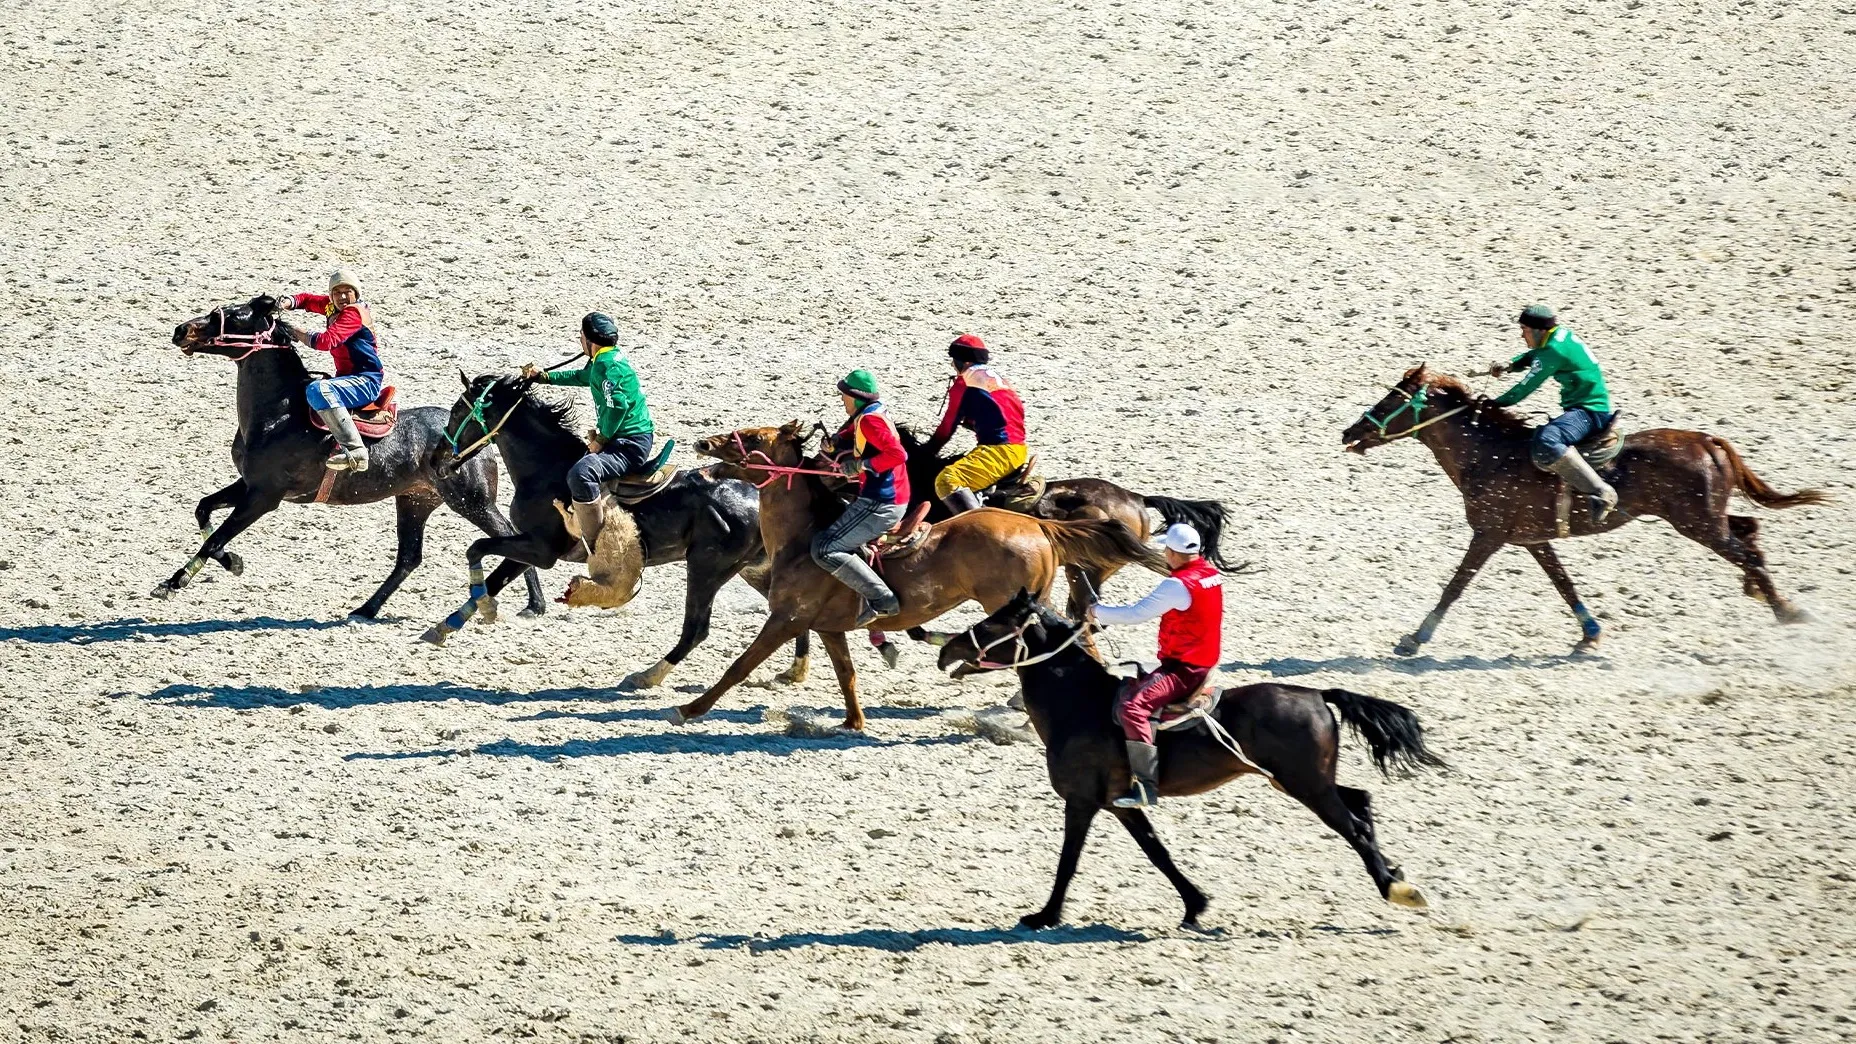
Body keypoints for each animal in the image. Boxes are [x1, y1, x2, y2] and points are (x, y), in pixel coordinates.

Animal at [160, 295, 541, 616]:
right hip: (416, 501)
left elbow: (217, 536)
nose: (181, 330)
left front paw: (174, 582)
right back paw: (366, 609)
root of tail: (480, 438)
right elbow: (204, 510)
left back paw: (535, 605)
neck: (279, 413)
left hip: (472, 502)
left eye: (230, 315)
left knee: (508, 534)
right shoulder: (248, 485)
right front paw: (231, 562)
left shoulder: (265, 496)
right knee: (409, 557)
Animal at [434, 369, 812, 687]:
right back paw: (794, 671)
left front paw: (483, 609)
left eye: (457, 412)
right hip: (755, 569)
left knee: (697, 630)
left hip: (706, 568)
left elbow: (477, 549)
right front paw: (445, 626)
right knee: (792, 611)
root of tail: (756, 496)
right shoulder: (529, 547)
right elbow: (495, 576)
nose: (438, 460)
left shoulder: (540, 550)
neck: (546, 470)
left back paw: (647, 676)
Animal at [690, 417, 1165, 728]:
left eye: (753, 437)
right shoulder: (828, 627)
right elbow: (847, 674)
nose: (704, 444)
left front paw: (690, 709)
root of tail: (1039, 525)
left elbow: (740, 665)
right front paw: (853, 721)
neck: (803, 537)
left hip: (1018, 603)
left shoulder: (787, 618)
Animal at [935, 587, 1440, 925]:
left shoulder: (1081, 801)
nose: (946, 651)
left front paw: (1045, 915)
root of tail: (1317, 693)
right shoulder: (1122, 804)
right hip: (1304, 781)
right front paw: (1195, 905)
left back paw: (1395, 887)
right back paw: (1393, 873)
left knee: (1353, 824)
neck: (1079, 703)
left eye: (992, 623)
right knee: (1360, 801)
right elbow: (1156, 851)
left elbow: (1070, 859)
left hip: (1307, 786)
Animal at [1343, 364, 1833, 650]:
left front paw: (1415, 637)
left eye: (1392, 399)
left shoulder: (1489, 535)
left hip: (1698, 524)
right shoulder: (1533, 540)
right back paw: (1764, 595)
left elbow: (1455, 585)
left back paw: (1787, 612)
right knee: (1749, 531)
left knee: (1747, 550)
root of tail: (1707, 440)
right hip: (1705, 518)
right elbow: (1564, 584)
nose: (1350, 433)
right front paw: (1590, 635)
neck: (1489, 453)